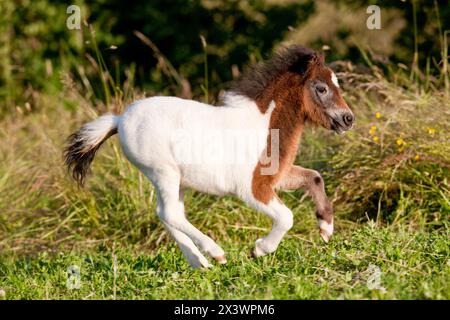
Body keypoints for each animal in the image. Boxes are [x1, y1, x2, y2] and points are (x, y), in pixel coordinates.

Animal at [63, 45, 354, 268]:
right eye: (321, 88)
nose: (348, 119)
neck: (263, 125)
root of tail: (120, 119)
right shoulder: (252, 188)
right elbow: (287, 217)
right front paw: (259, 249)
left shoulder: (275, 176)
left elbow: (315, 177)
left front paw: (326, 229)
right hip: (164, 173)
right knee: (170, 213)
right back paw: (216, 253)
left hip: (172, 179)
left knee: (165, 214)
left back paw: (199, 262)